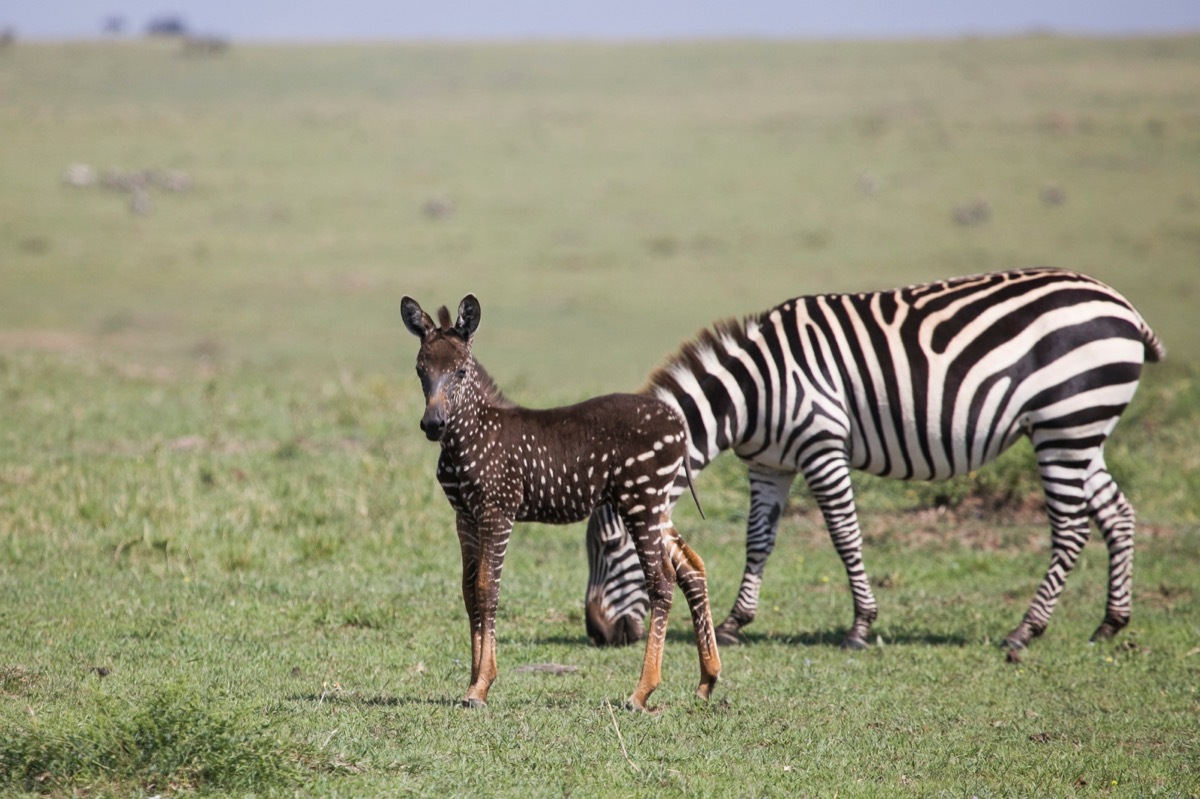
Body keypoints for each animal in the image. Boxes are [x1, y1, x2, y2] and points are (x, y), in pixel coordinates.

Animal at [403, 293, 720, 710]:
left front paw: (481, 686)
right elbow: (470, 592)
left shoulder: (497, 510)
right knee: (692, 567)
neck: (467, 439)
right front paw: (472, 681)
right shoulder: (464, 516)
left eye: (460, 371)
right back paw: (707, 679)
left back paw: (642, 691)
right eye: (420, 370)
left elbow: (488, 590)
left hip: (641, 501)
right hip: (656, 505)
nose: (433, 425)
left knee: (662, 581)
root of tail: (679, 425)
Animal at [580, 267, 1161, 652]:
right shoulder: (770, 464)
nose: (598, 633)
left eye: (609, 546)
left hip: (1066, 422)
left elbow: (844, 535)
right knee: (1116, 514)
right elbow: (758, 540)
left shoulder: (821, 445)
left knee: (1070, 527)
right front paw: (733, 623)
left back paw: (1025, 630)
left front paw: (860, 626)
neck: (747, 394)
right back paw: (1111, 622)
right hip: (1081, 430)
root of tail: (1124, 306)